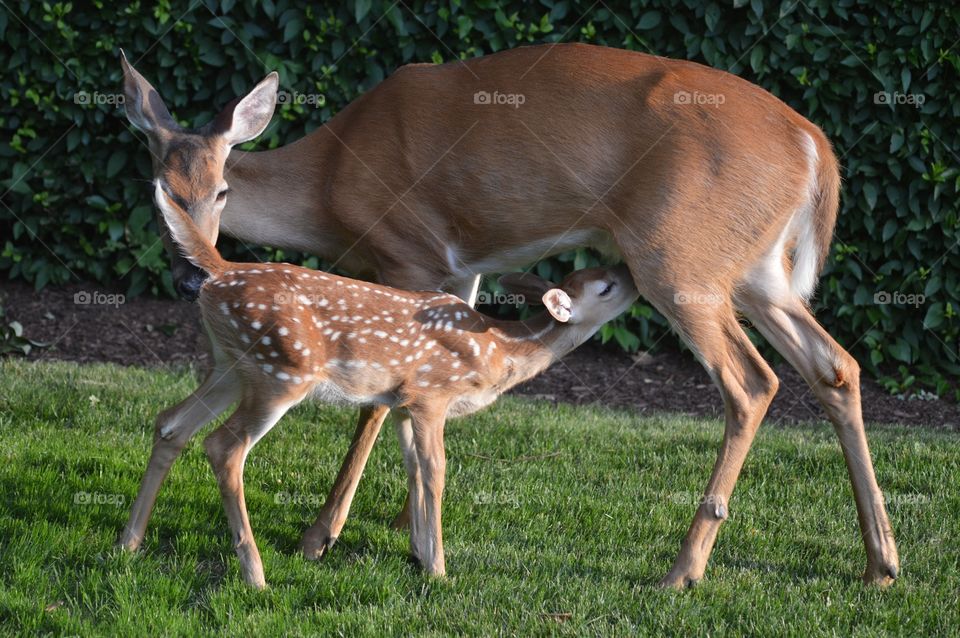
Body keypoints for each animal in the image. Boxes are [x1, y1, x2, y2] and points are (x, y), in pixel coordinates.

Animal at [120, 41, 900, 592]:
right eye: (157, 186)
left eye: (222, 190)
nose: (190, 271)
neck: (328, 188)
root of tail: (815, 147)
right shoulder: (460, 269)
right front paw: (406, 523)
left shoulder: (408, 249)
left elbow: (373, 402)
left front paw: (324, 535)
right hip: (760, 273)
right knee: (836, 366)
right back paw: (880, 562)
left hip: (681, 259)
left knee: (751, 382)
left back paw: (684, 568)